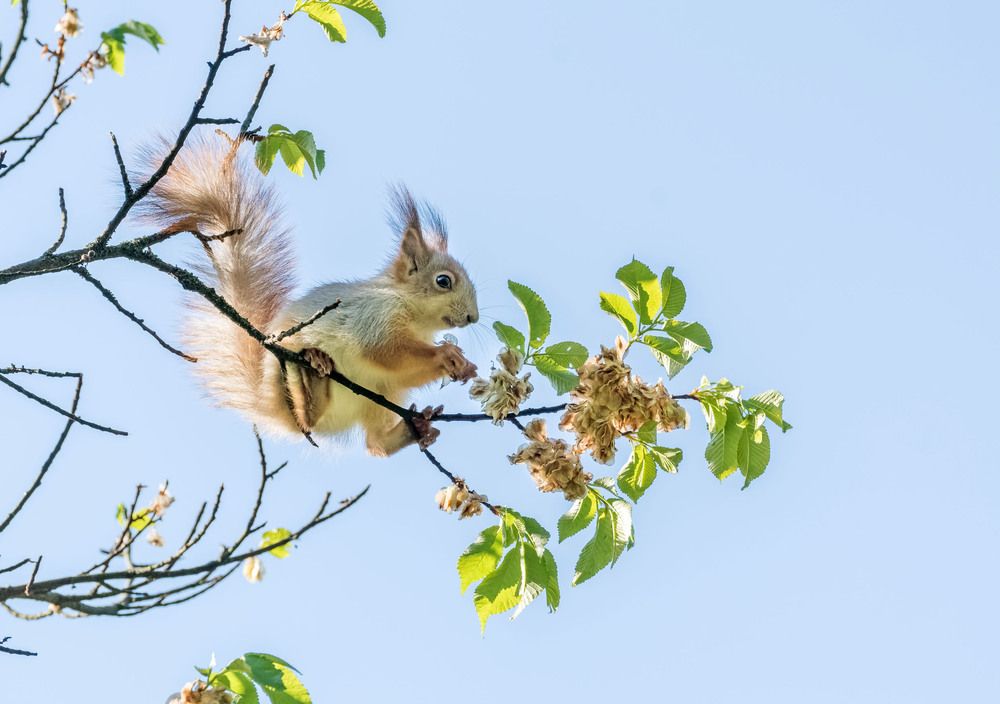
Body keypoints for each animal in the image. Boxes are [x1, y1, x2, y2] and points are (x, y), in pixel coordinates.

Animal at [141, 138, 479, 456]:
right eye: (443, 281)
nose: (472, 317)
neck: (414, 315)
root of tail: (265, 403)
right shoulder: (372, 316)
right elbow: (385, 349)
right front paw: (445, 355)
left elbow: (403, 370)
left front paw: (464, 366)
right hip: (288, 377)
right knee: (308, 421)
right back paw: (313, 383)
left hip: (382, 397)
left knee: (376, 444)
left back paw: (414, 429)